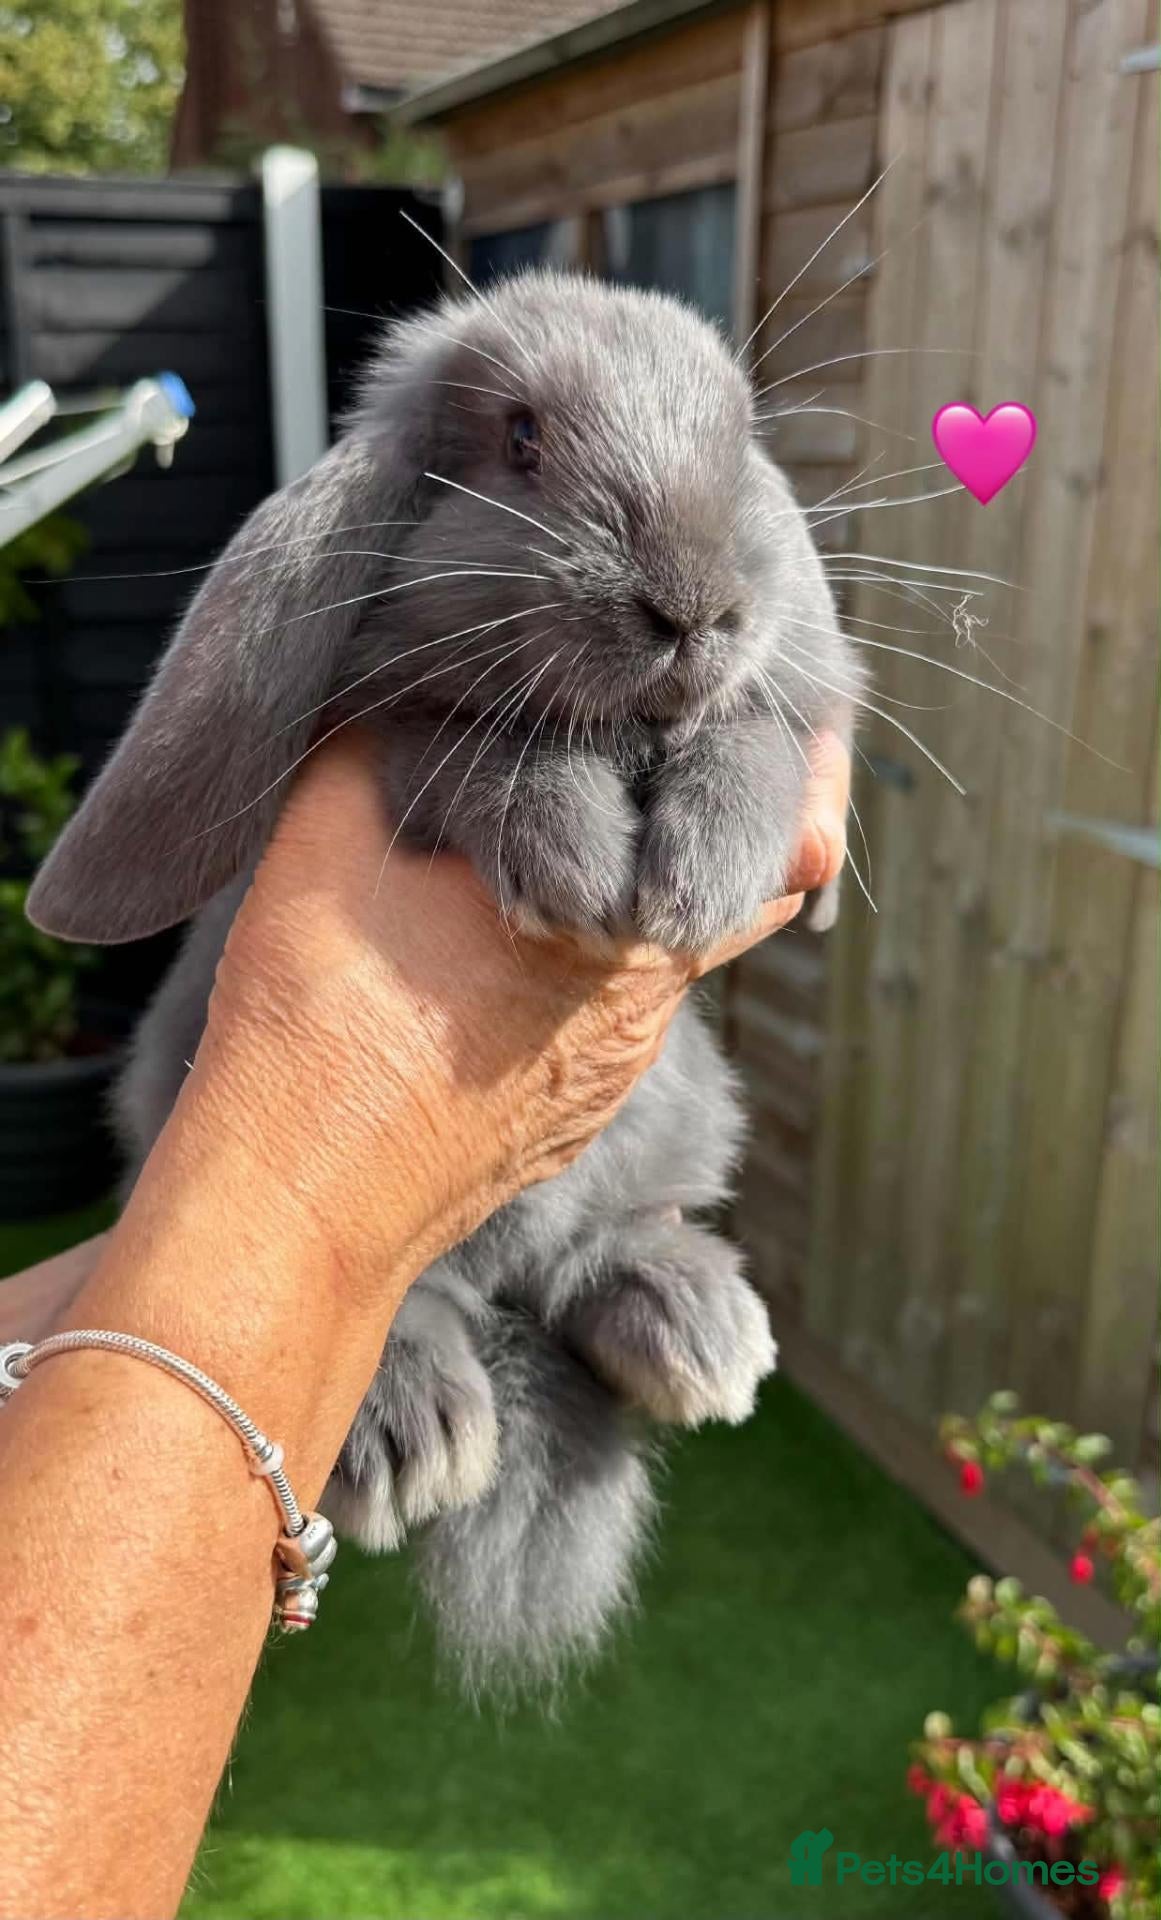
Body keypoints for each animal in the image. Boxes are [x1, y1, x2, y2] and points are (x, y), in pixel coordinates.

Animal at [28, 270, 858, 1688]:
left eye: (743, 437)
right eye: (520, 440)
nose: (696, 607)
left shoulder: (759, 714)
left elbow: (752, 738)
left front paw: (699, 868)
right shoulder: (390, 743)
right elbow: (471, 743)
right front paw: (580, 857)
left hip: (684, 1115)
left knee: (598, 1248)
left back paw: (696, 1331)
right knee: (415, 1293)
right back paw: (414, 1429)